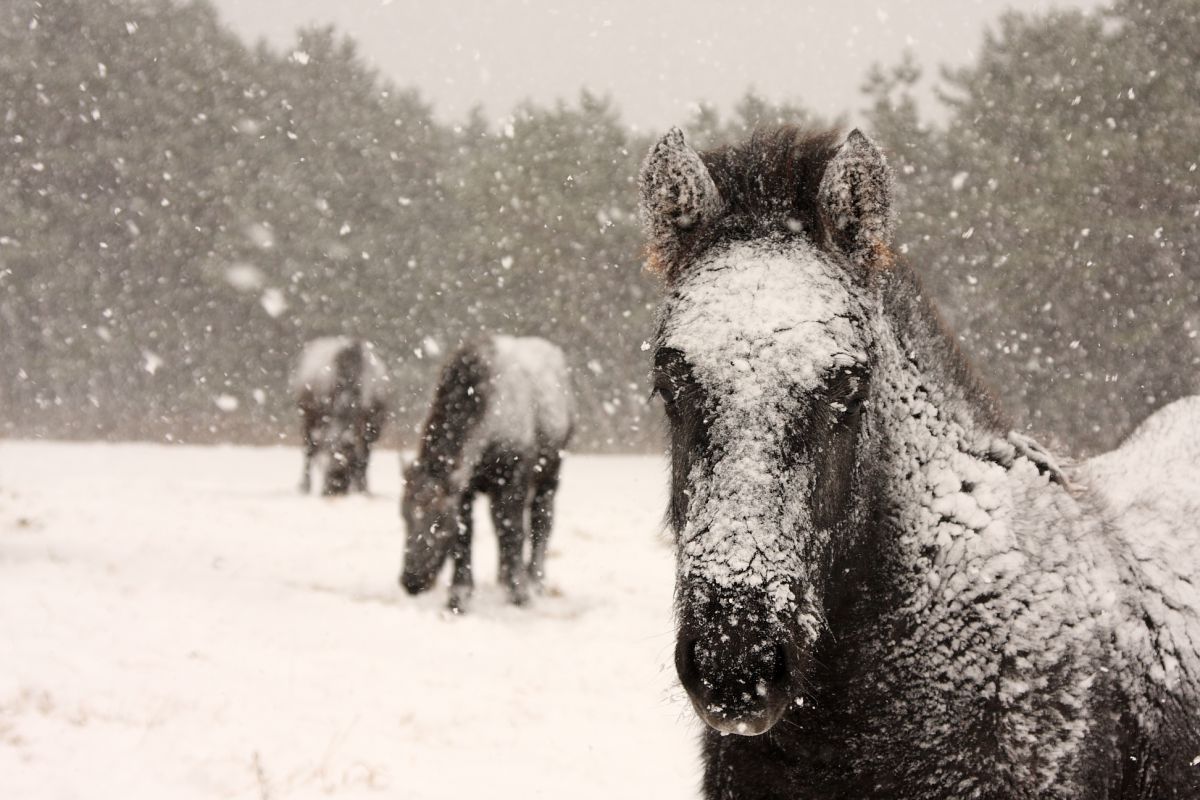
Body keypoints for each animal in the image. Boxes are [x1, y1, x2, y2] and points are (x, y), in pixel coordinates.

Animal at [290, 335, 388, 494]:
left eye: (346, 459)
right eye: (328, 455)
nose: (333, 488)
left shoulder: (372, 426)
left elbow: (364, 459)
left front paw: (363, 488)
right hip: (307, 418)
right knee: (308, 450)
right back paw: (305, 486)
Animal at [398, 331, 576, 614]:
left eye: (439, 520)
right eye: (403, 514)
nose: (411, 581)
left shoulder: (513, 480)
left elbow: (514, 533)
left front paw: (520, 595)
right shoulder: (467, 490)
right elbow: (466, 536)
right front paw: (458, 598)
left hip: (551, 472)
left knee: (541, 520)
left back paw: (535, 581)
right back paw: (503, 578)